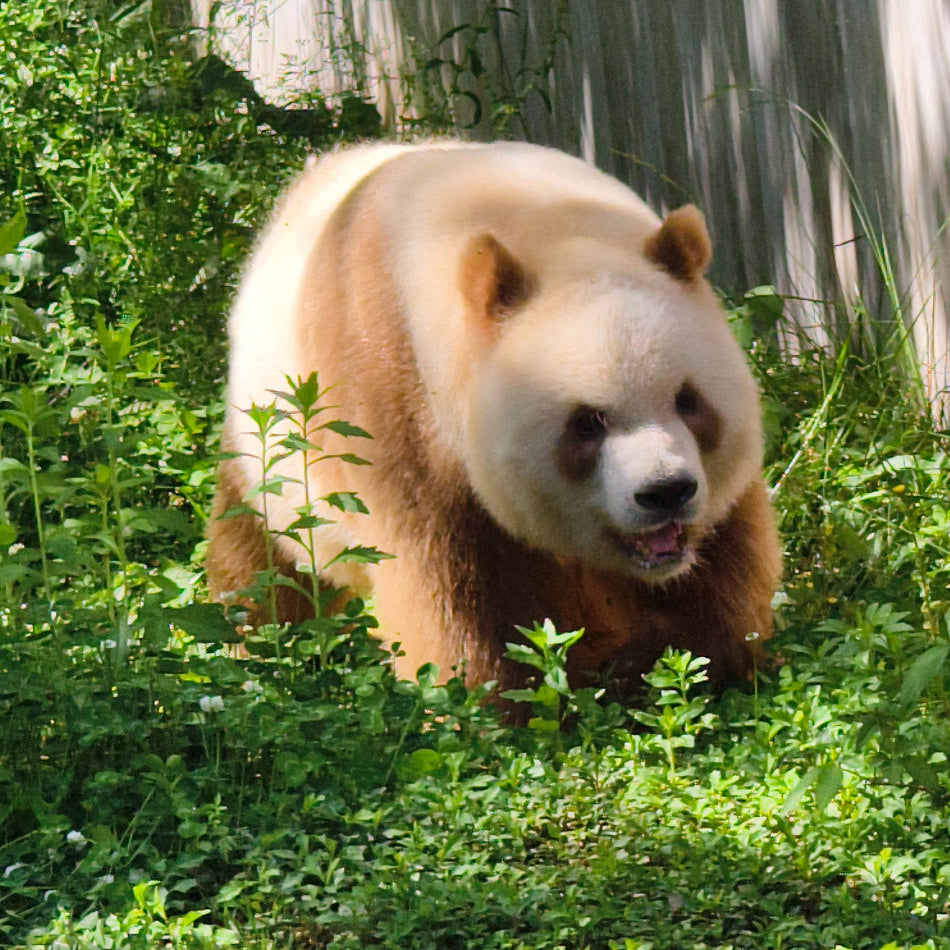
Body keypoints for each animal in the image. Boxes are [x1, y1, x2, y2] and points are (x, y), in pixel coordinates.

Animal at [206, 140, 781, 698]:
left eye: (687, 400)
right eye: (587, 422)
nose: (665, 492)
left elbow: (718, 577)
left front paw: (708, 671)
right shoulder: (397, 397)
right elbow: (451, 588)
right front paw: (484, 700)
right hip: (270, 450)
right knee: (260, 561)